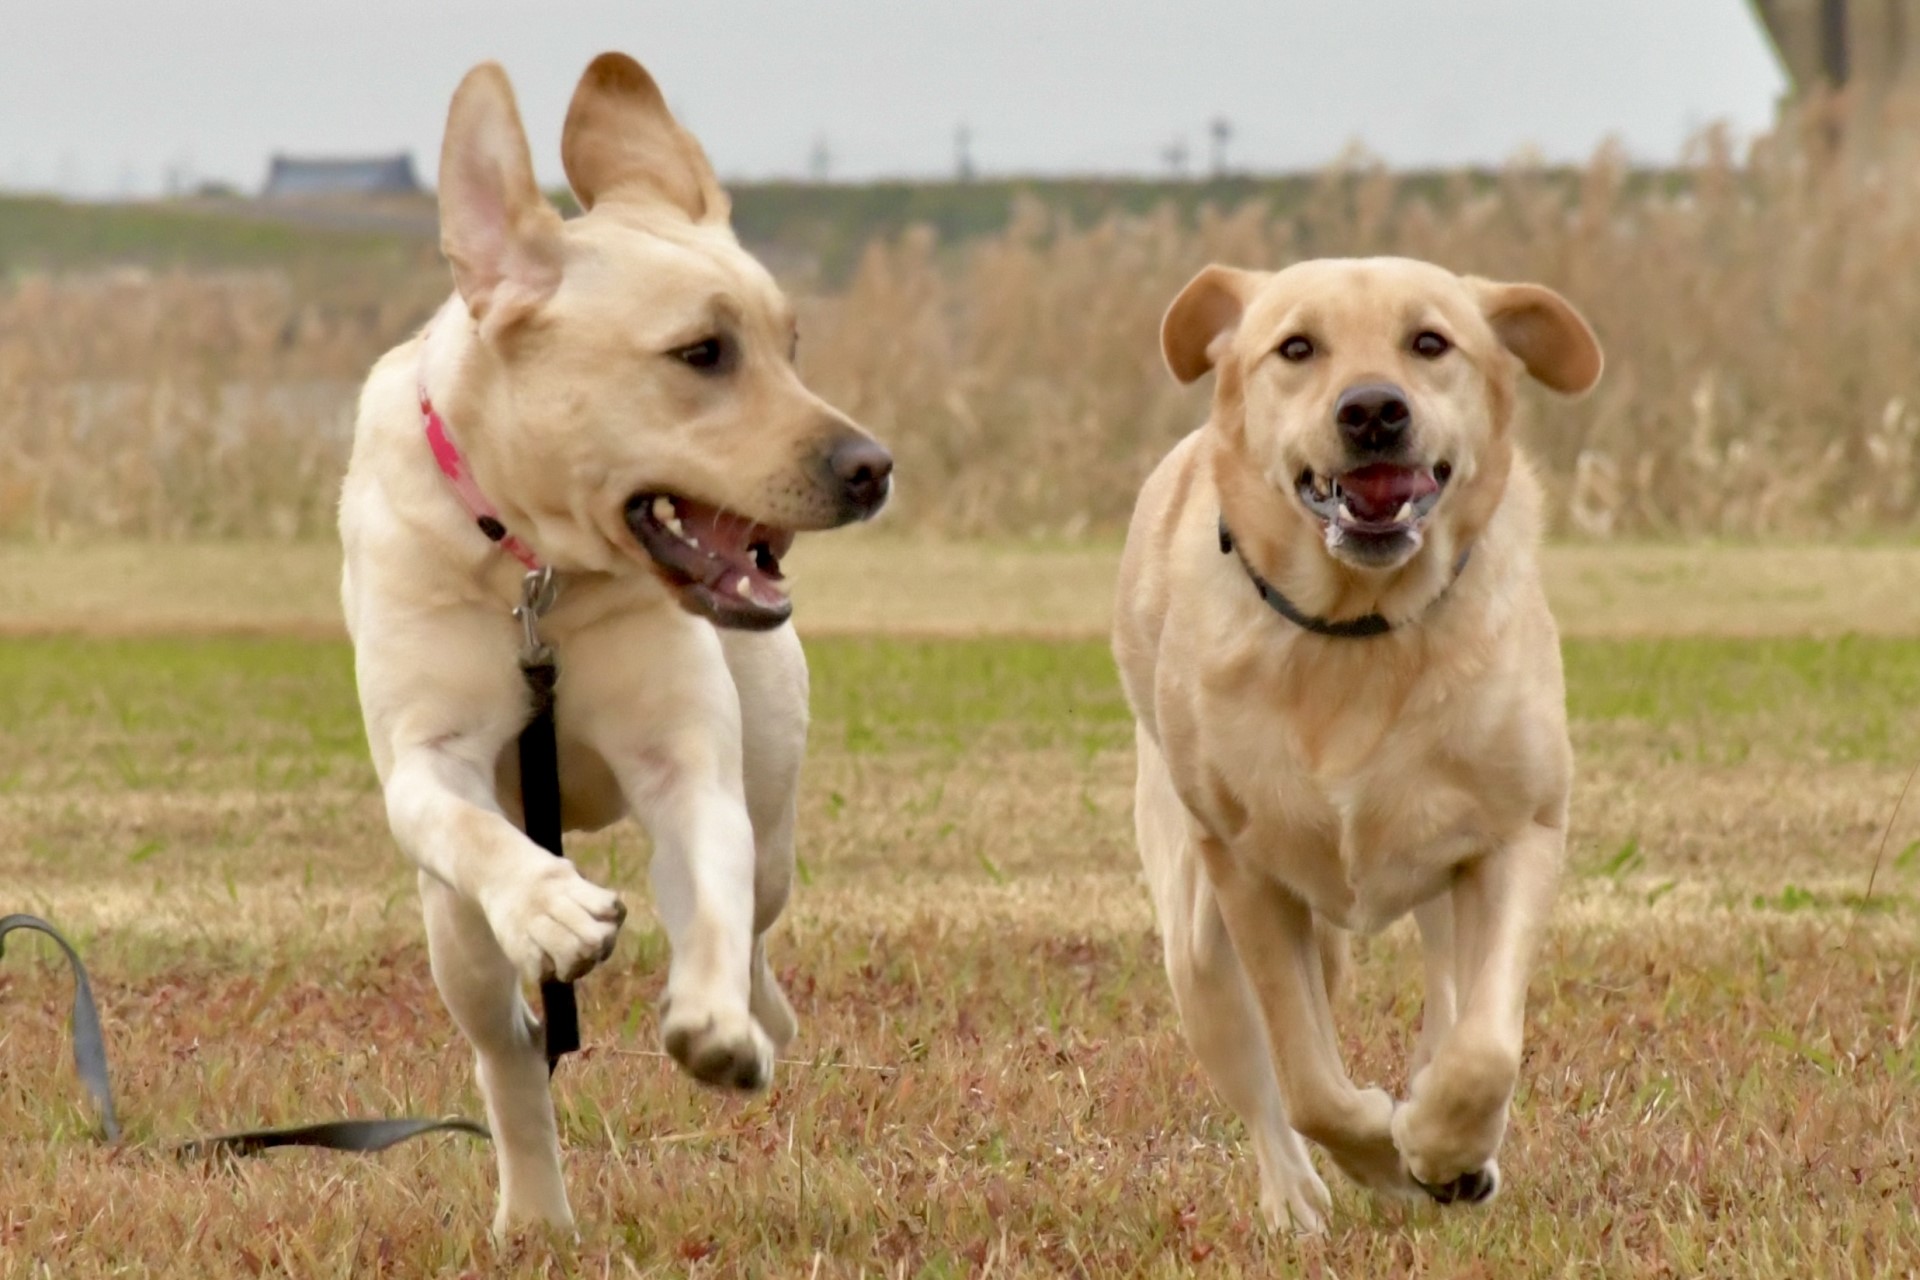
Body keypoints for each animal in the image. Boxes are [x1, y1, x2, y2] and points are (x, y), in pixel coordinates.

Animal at [339, 55, 890, 1235]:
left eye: (791, 345)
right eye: (701, 353)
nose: (874, 466)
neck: (539, 571)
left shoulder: (689, 763)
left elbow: (714, 893)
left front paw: (717, 1023)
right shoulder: (425, 759)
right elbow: (469, 825)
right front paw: (551, 903)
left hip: (772, 806)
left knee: (755, 912)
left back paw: (756, 1018)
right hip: (452, 936)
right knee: (506, 1046)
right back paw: (535, 1215)